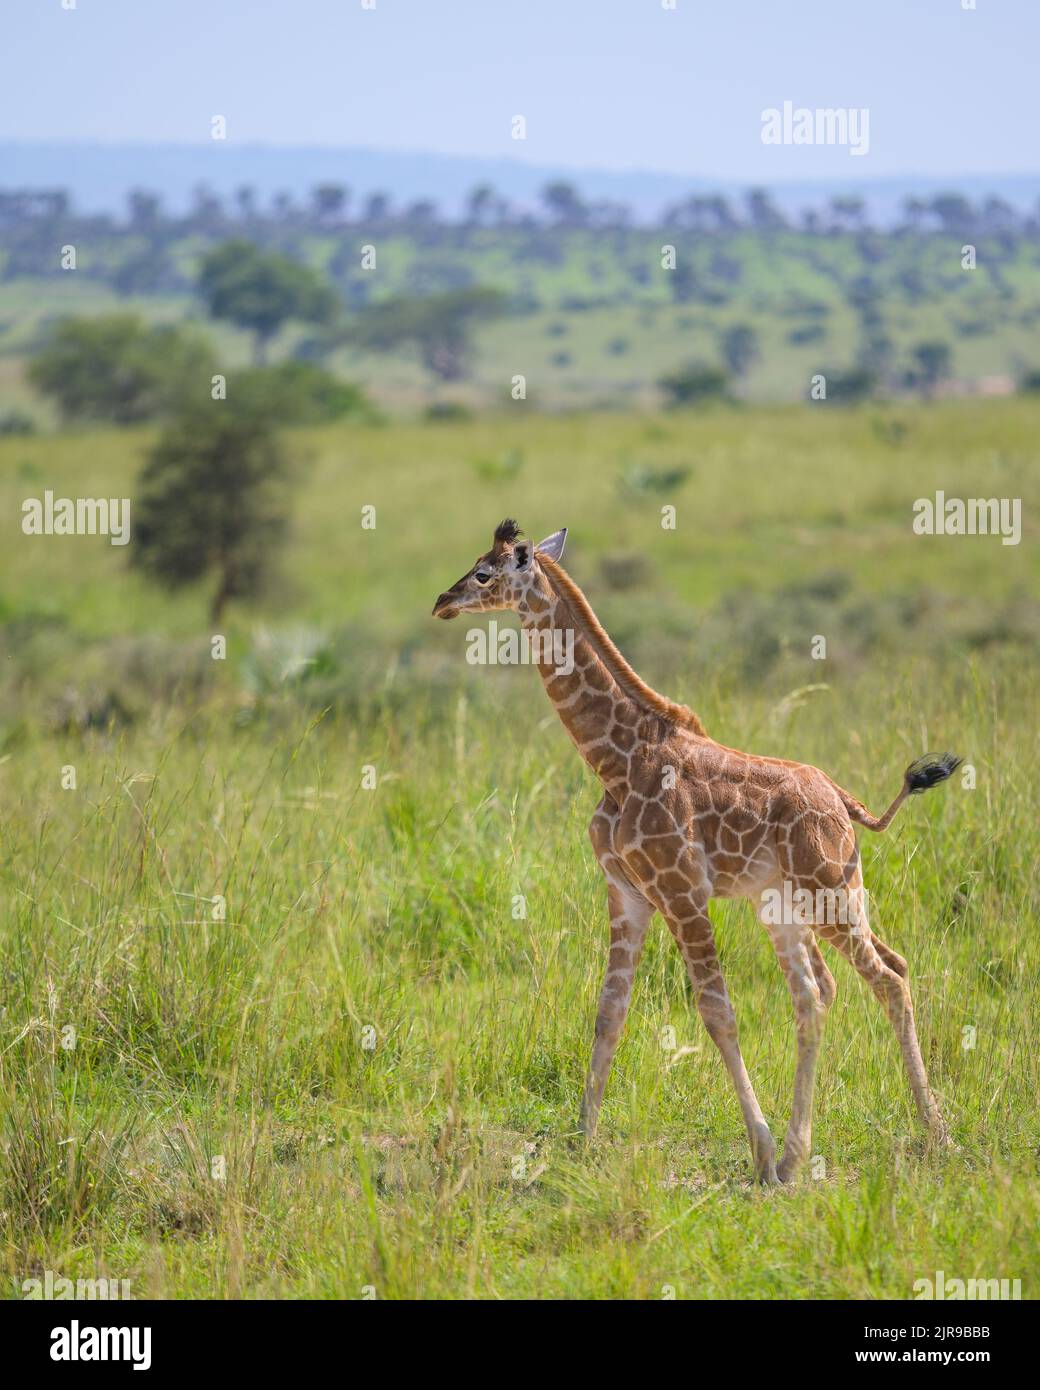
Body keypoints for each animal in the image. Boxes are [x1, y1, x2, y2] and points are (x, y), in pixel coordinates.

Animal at [433, 520, 961, 1183]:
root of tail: (844, 801)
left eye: (484, 573)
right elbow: (609, 1012)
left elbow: (717, 1013)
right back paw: (804, 1153)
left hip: (830, 889)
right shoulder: (627, 893)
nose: (441, 602)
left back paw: (931, 1137)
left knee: (886, 978)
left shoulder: (682, 892)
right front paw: (582, 1143)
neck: (616, 761)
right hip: (788, 905)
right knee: (824, 992)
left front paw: (758, 1149)